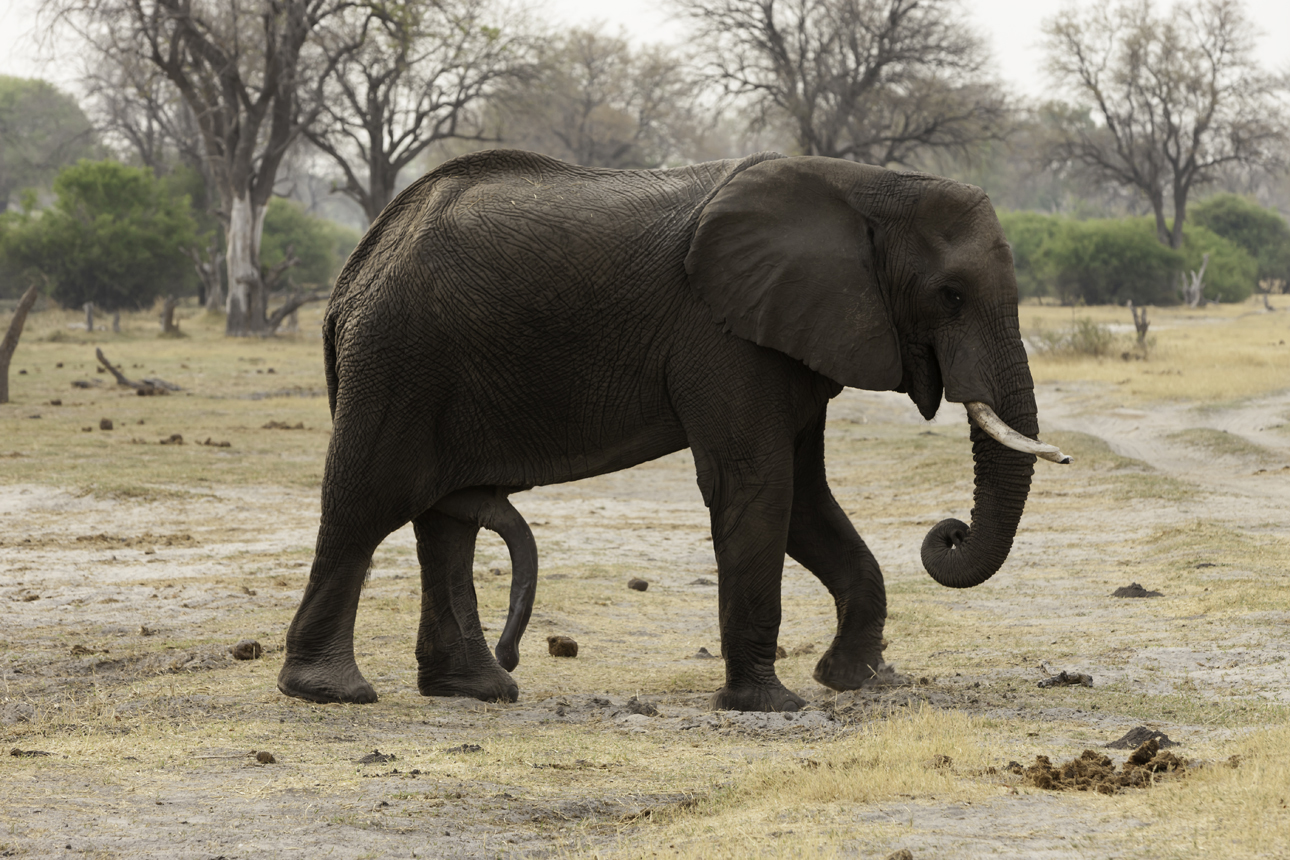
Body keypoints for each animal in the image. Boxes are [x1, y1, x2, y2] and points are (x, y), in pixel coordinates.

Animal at [277, 149, 1069, 713]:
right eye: (951, 296)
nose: (950, 531)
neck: (868, 183)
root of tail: (357, 266)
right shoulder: (722, 333)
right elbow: (759, 485)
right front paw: (770, 706)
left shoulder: (789, 332)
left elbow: (805, 499)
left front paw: (855, 681)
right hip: (397, 359)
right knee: (366, 503)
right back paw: (333, 692)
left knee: (446, 520)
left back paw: (480, 689)